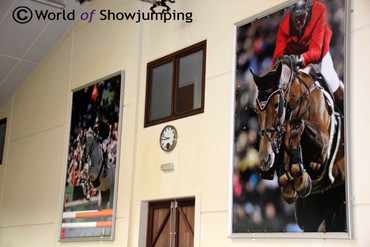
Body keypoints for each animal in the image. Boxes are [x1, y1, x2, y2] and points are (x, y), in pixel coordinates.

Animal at [251, 56, 346, 232]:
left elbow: (295, 124)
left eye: (276, 105)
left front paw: (299, 176)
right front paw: (289, 183)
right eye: (257, 110)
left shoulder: (322, 151)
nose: (264, 158)